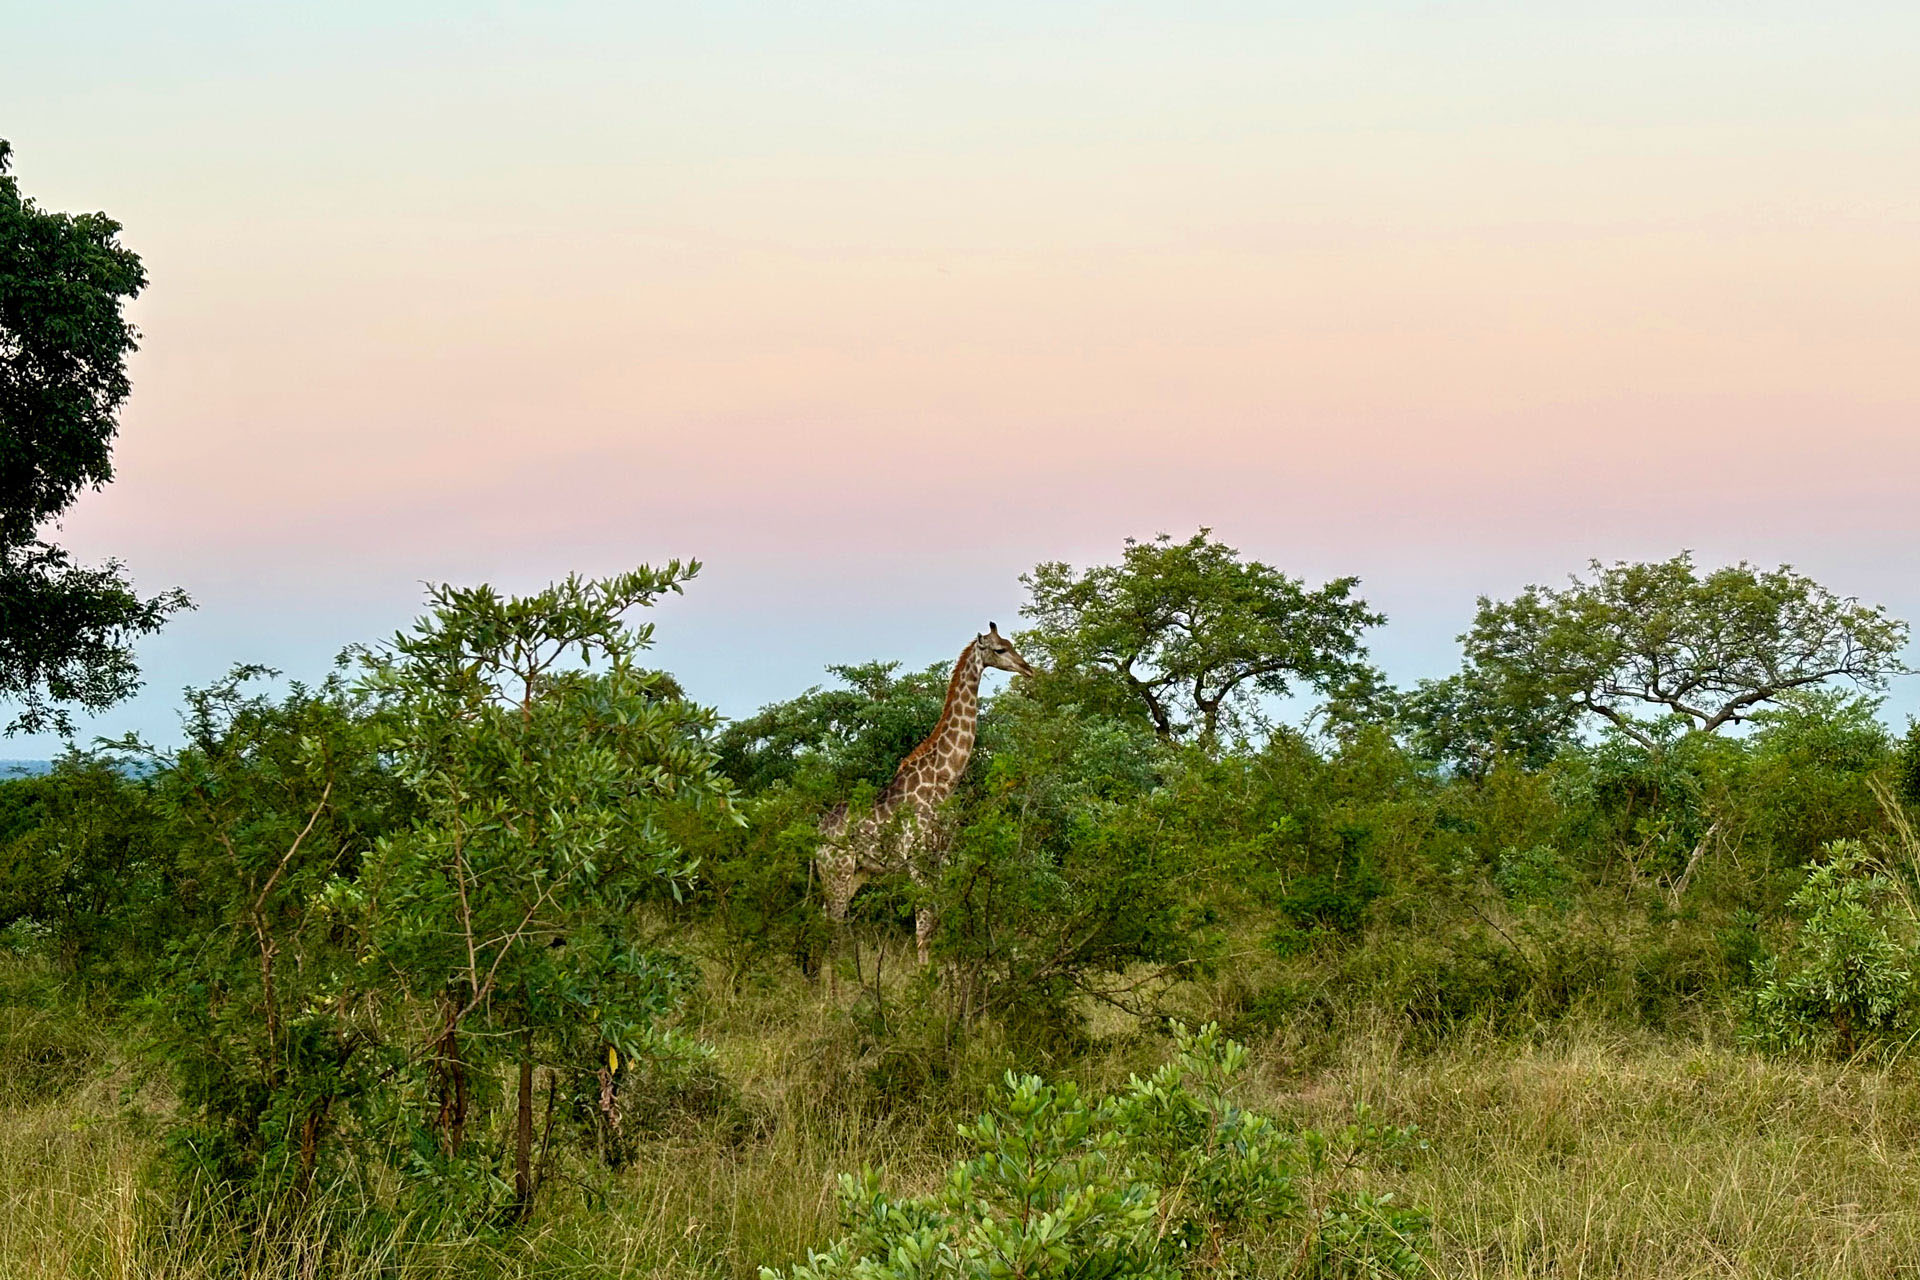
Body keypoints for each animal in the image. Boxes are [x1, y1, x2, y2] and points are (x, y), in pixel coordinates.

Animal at [817, 623, 1036, 966]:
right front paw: (926, 978)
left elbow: (938, 922)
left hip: (857, 873)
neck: (942, 781)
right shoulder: (917, 860)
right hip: (836, 872)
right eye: (1000, 649)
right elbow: (923, 929)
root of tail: (816, 835)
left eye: (1011, 643)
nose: (1028, 669)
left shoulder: (940, 859)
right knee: (834, 926)